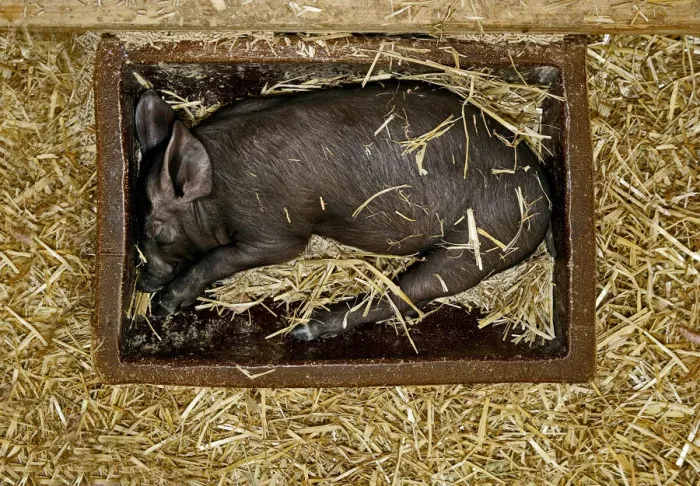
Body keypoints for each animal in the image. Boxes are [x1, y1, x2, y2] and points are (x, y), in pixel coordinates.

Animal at [134, 81, 553, 341]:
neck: (216, 192)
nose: (142, 284)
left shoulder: (273, 229)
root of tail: (546, 200)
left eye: (157, 232)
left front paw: (164, 306)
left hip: (482, 240)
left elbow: (225, 258)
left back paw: (303, 329)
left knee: (412, 289)